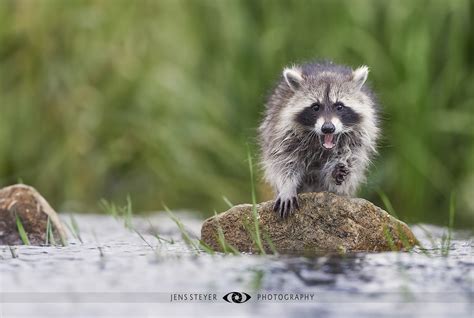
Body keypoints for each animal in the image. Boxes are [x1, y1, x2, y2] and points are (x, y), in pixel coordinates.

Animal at [258, 60, 380, 217]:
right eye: (315, 107)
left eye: (339, 106)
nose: (328, 128)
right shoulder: (282, 133)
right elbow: (284, 162)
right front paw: (287, 186)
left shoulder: (357, 141)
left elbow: (350, 165)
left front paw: (334, 174)